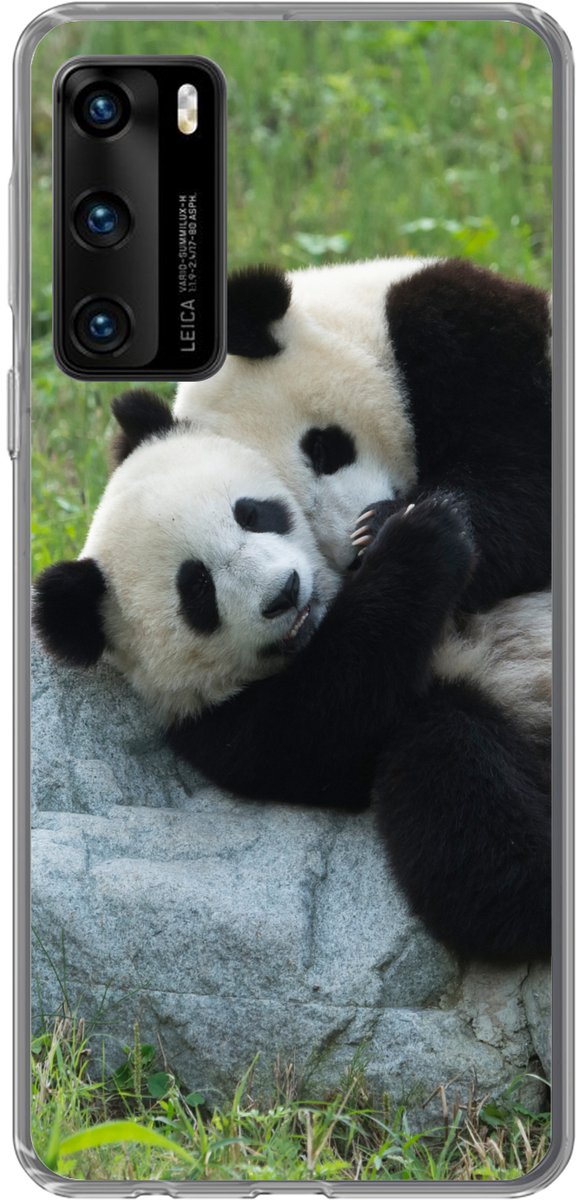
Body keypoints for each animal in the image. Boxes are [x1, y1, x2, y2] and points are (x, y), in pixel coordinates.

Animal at [34, 391, 551, 965]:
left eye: (252, 513)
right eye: (198, 591)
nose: (285, 592)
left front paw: (399, 520)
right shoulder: (220, 726)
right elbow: (329, 719)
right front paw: (422, 537)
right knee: (459, 786)